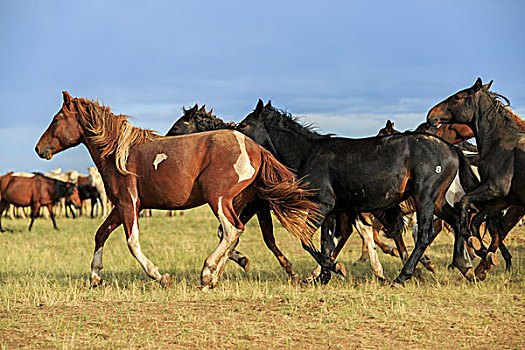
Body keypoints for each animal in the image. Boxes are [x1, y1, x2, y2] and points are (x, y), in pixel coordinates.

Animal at [34, 91, 320, 292]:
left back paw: (207, 273)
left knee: (231, 230)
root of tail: (257, 148)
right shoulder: (121, 206)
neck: (118, 153)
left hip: (218, 199)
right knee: (233, 234)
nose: (39, 148)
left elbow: (132, 243)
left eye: (56, 119)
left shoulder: (128, 203)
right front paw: (95, 276)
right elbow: (100, 234)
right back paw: (214, 277)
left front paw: (160, 276)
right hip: (235, 203)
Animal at [237, 100, 478, 286]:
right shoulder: (331, 211)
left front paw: (334, 269)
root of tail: (452, 149)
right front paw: (322, 277)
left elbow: (307, 240)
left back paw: (403, 276)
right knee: (457, 221)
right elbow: (326, 244)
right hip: (436, 201)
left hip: (425, 198)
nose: (234, 138)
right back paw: (465, 266)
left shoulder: (321, 206)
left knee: (425, 234)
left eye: (245, 124)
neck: (307, 153)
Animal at [426, 78, 524, 280]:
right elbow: (483, 223)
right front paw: (481, 252)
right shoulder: (500, 198)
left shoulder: (496, 190)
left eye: (458, 97)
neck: (501, 145)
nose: (431, 116)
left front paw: (481, 261)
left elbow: (471, 210)